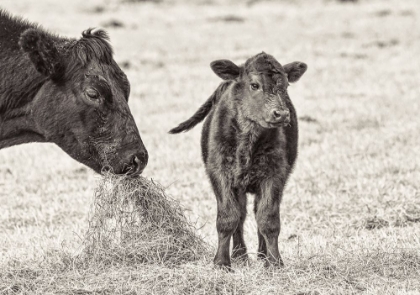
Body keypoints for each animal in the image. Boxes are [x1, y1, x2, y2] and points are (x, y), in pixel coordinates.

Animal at [169, 52, 306, 270]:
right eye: (254, 85)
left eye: (285, 85)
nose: (281, 114)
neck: (247, 142)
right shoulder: (219, 173)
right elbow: (228, 218)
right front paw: (221, 262)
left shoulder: (275, 175)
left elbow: (268, 220)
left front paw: (275, 262)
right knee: (240, 216)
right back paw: (240, 254)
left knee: (257, 213)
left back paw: (261, 255)